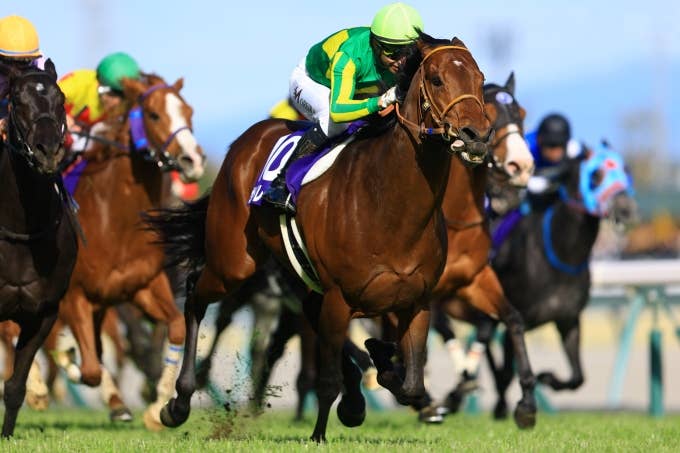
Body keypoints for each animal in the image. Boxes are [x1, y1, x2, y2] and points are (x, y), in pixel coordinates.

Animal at [43, 72, 205, 430]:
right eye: (154, 115)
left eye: (189, 111)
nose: (193, 160)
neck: (113, 224)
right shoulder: (73, 295)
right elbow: (89, 368)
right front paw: (72, 364)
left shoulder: (142, 285)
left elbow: (175, 327)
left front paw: (157, 407)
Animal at [146, 34, 493, 442]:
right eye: (437, 80)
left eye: (479, 79)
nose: (477, 137)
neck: (391, 204)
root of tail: (244, 141)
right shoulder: (340, 297)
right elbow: (327, 380)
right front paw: (320, 433)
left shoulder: (417, 301)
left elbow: (410, 384)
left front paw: (378, 373)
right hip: (234, 262)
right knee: (196, 297)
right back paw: (177, 403)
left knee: (312, 316)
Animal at [482, 144, 636, 418]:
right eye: (595, 174)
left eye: (626, 169)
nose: (626, 209)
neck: (562, 253)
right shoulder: (518, 315)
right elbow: (511, 365)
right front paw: (518, 405)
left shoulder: (568, 320)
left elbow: (578, 377)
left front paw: (548, 378)